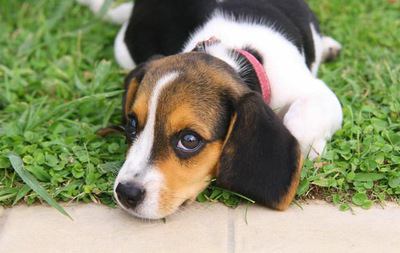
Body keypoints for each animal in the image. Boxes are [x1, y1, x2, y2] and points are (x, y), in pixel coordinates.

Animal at [79, 0, 344, 219]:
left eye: (189, 140)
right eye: (132, 124)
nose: (126, 193)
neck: (234, 54)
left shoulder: (320, 94)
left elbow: (299, 125)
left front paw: (314, 151)